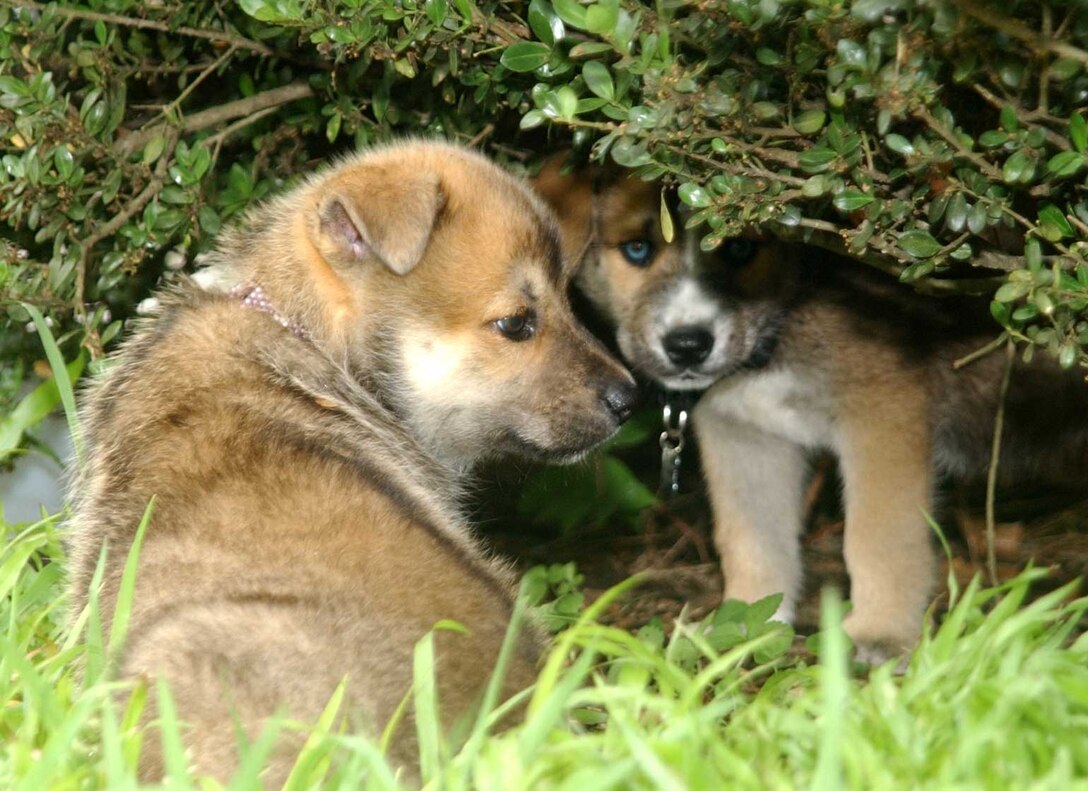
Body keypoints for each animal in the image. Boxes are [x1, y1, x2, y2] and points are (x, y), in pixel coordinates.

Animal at [535, 164, 1088, 665]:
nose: (688, 345)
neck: (781, 325)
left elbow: (879, 537)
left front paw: (881, 633)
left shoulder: (886, 413)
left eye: (740, 249)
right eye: (637, 249)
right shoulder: (745, 438)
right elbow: (751, 540)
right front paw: (747, 627)